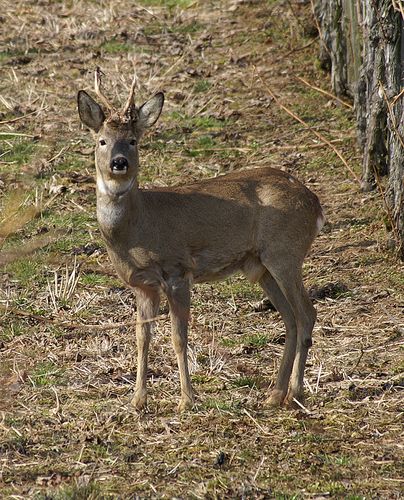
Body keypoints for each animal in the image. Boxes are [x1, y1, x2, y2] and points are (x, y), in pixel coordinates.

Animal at [78, 70, 326, 412]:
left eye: (133, 140)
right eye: (102, 140)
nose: (118, 162)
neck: (137, 228)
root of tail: (314, 202)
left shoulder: (178, 270)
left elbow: (178, 337)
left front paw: (186, 399)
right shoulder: (142, 284)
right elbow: (142, 337)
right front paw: (138, 399)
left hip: (285, 252)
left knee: (306, 314)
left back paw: (297, 392)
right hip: (261, 266)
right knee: (290, 318)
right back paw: (275, 394)